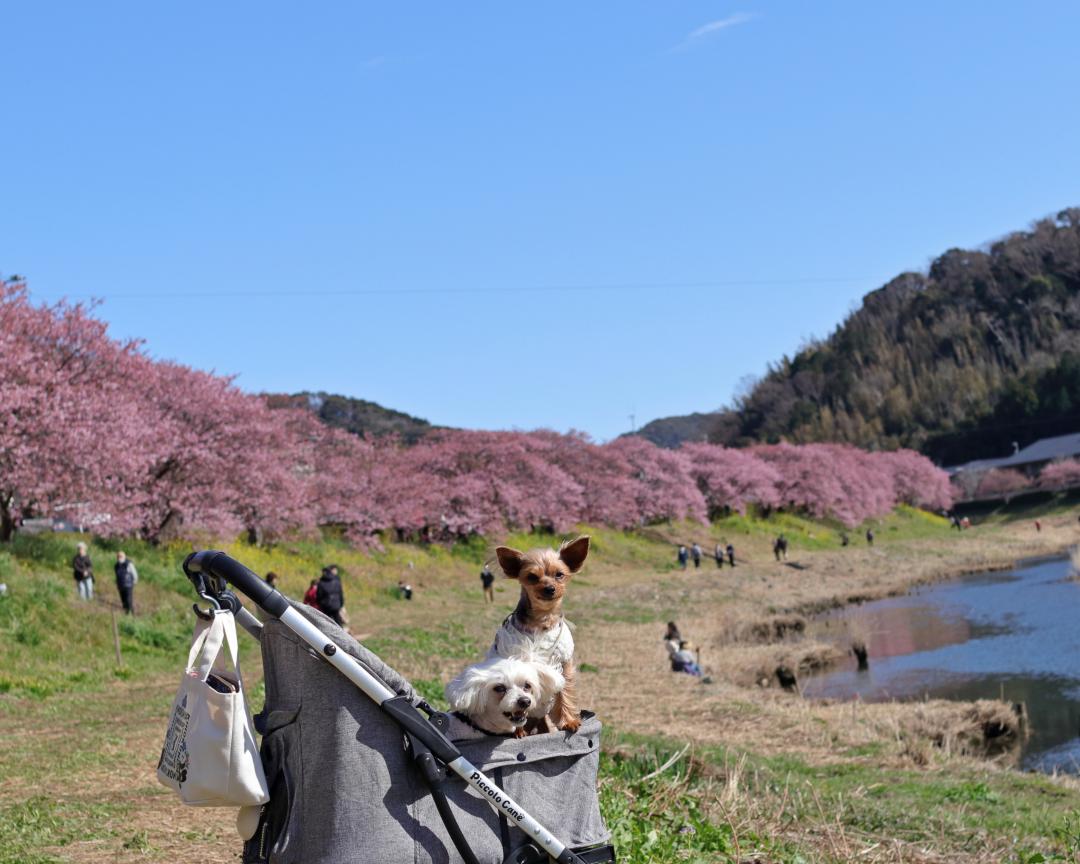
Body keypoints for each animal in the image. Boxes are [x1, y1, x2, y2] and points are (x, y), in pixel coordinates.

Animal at [492, 535, 591, 734]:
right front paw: (517, 731)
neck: (542, 619)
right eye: (532, 577)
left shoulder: (564, 663)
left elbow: (565, 692)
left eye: (559, 574)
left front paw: (569, 721)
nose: (549, 588)